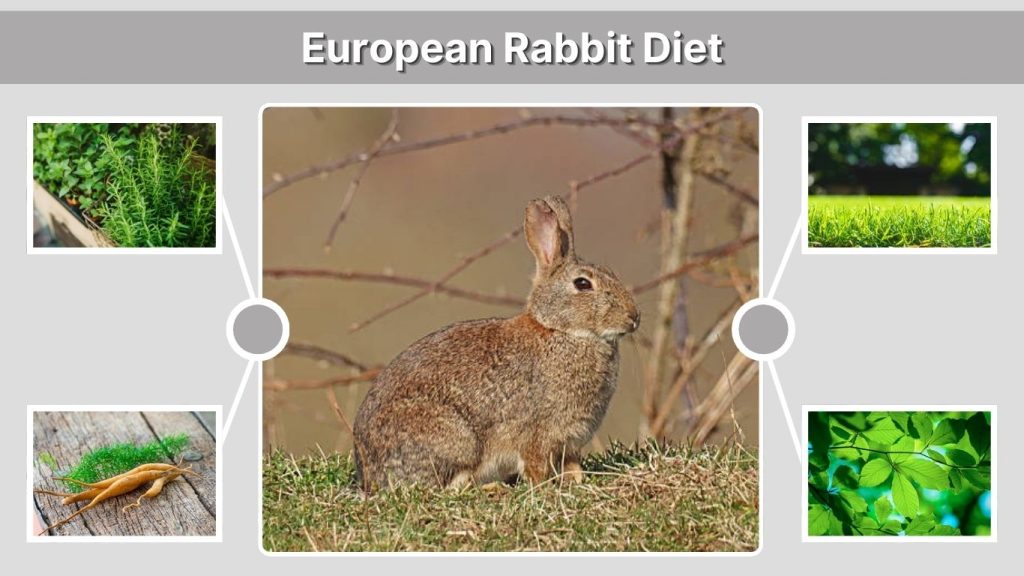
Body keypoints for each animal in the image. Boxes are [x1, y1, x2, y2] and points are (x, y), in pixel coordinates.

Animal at [353, 195, 640, 491]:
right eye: (582, 284)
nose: (634, 317)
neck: (561, 330)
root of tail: (369, 473)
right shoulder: (538, 434)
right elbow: (536, 465)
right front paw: (544, 487)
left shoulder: (569, 443)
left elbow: (572, 467)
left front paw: (577, 481)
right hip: (456, 440)